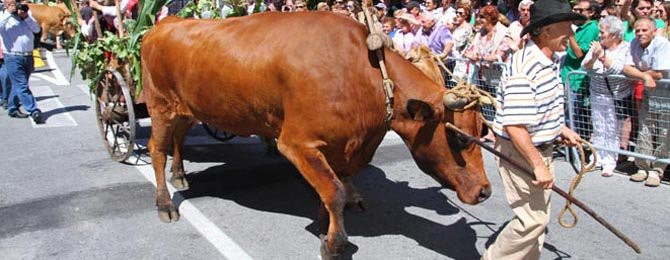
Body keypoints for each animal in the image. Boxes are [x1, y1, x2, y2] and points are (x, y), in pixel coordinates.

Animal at [140, 12, 494, 260]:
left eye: (483, 131)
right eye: (461, 139)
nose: (485, 192)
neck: (364, 73)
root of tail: (165, 24)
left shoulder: (343, 148)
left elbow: (330, 187)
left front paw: (325, 226)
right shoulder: (296, 143)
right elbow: (334, 191)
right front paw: (335, 244)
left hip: (188, 109)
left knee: (178, 138)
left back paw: (180, 174)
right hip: (160, 105)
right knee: (156, 149)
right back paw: (164, 203)